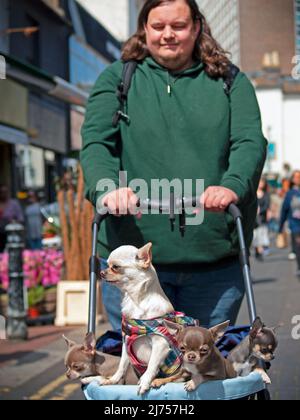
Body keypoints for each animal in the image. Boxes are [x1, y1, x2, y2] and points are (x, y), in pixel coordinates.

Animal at [99, 241, 178, 396]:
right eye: (107, 264)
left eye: (115, 267)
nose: (101, 272)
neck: (134, 300)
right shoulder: (126, 343)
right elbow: (122, 365)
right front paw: (113, 380)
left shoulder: (161, 344)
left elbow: (152, 365)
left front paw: (145, 381)